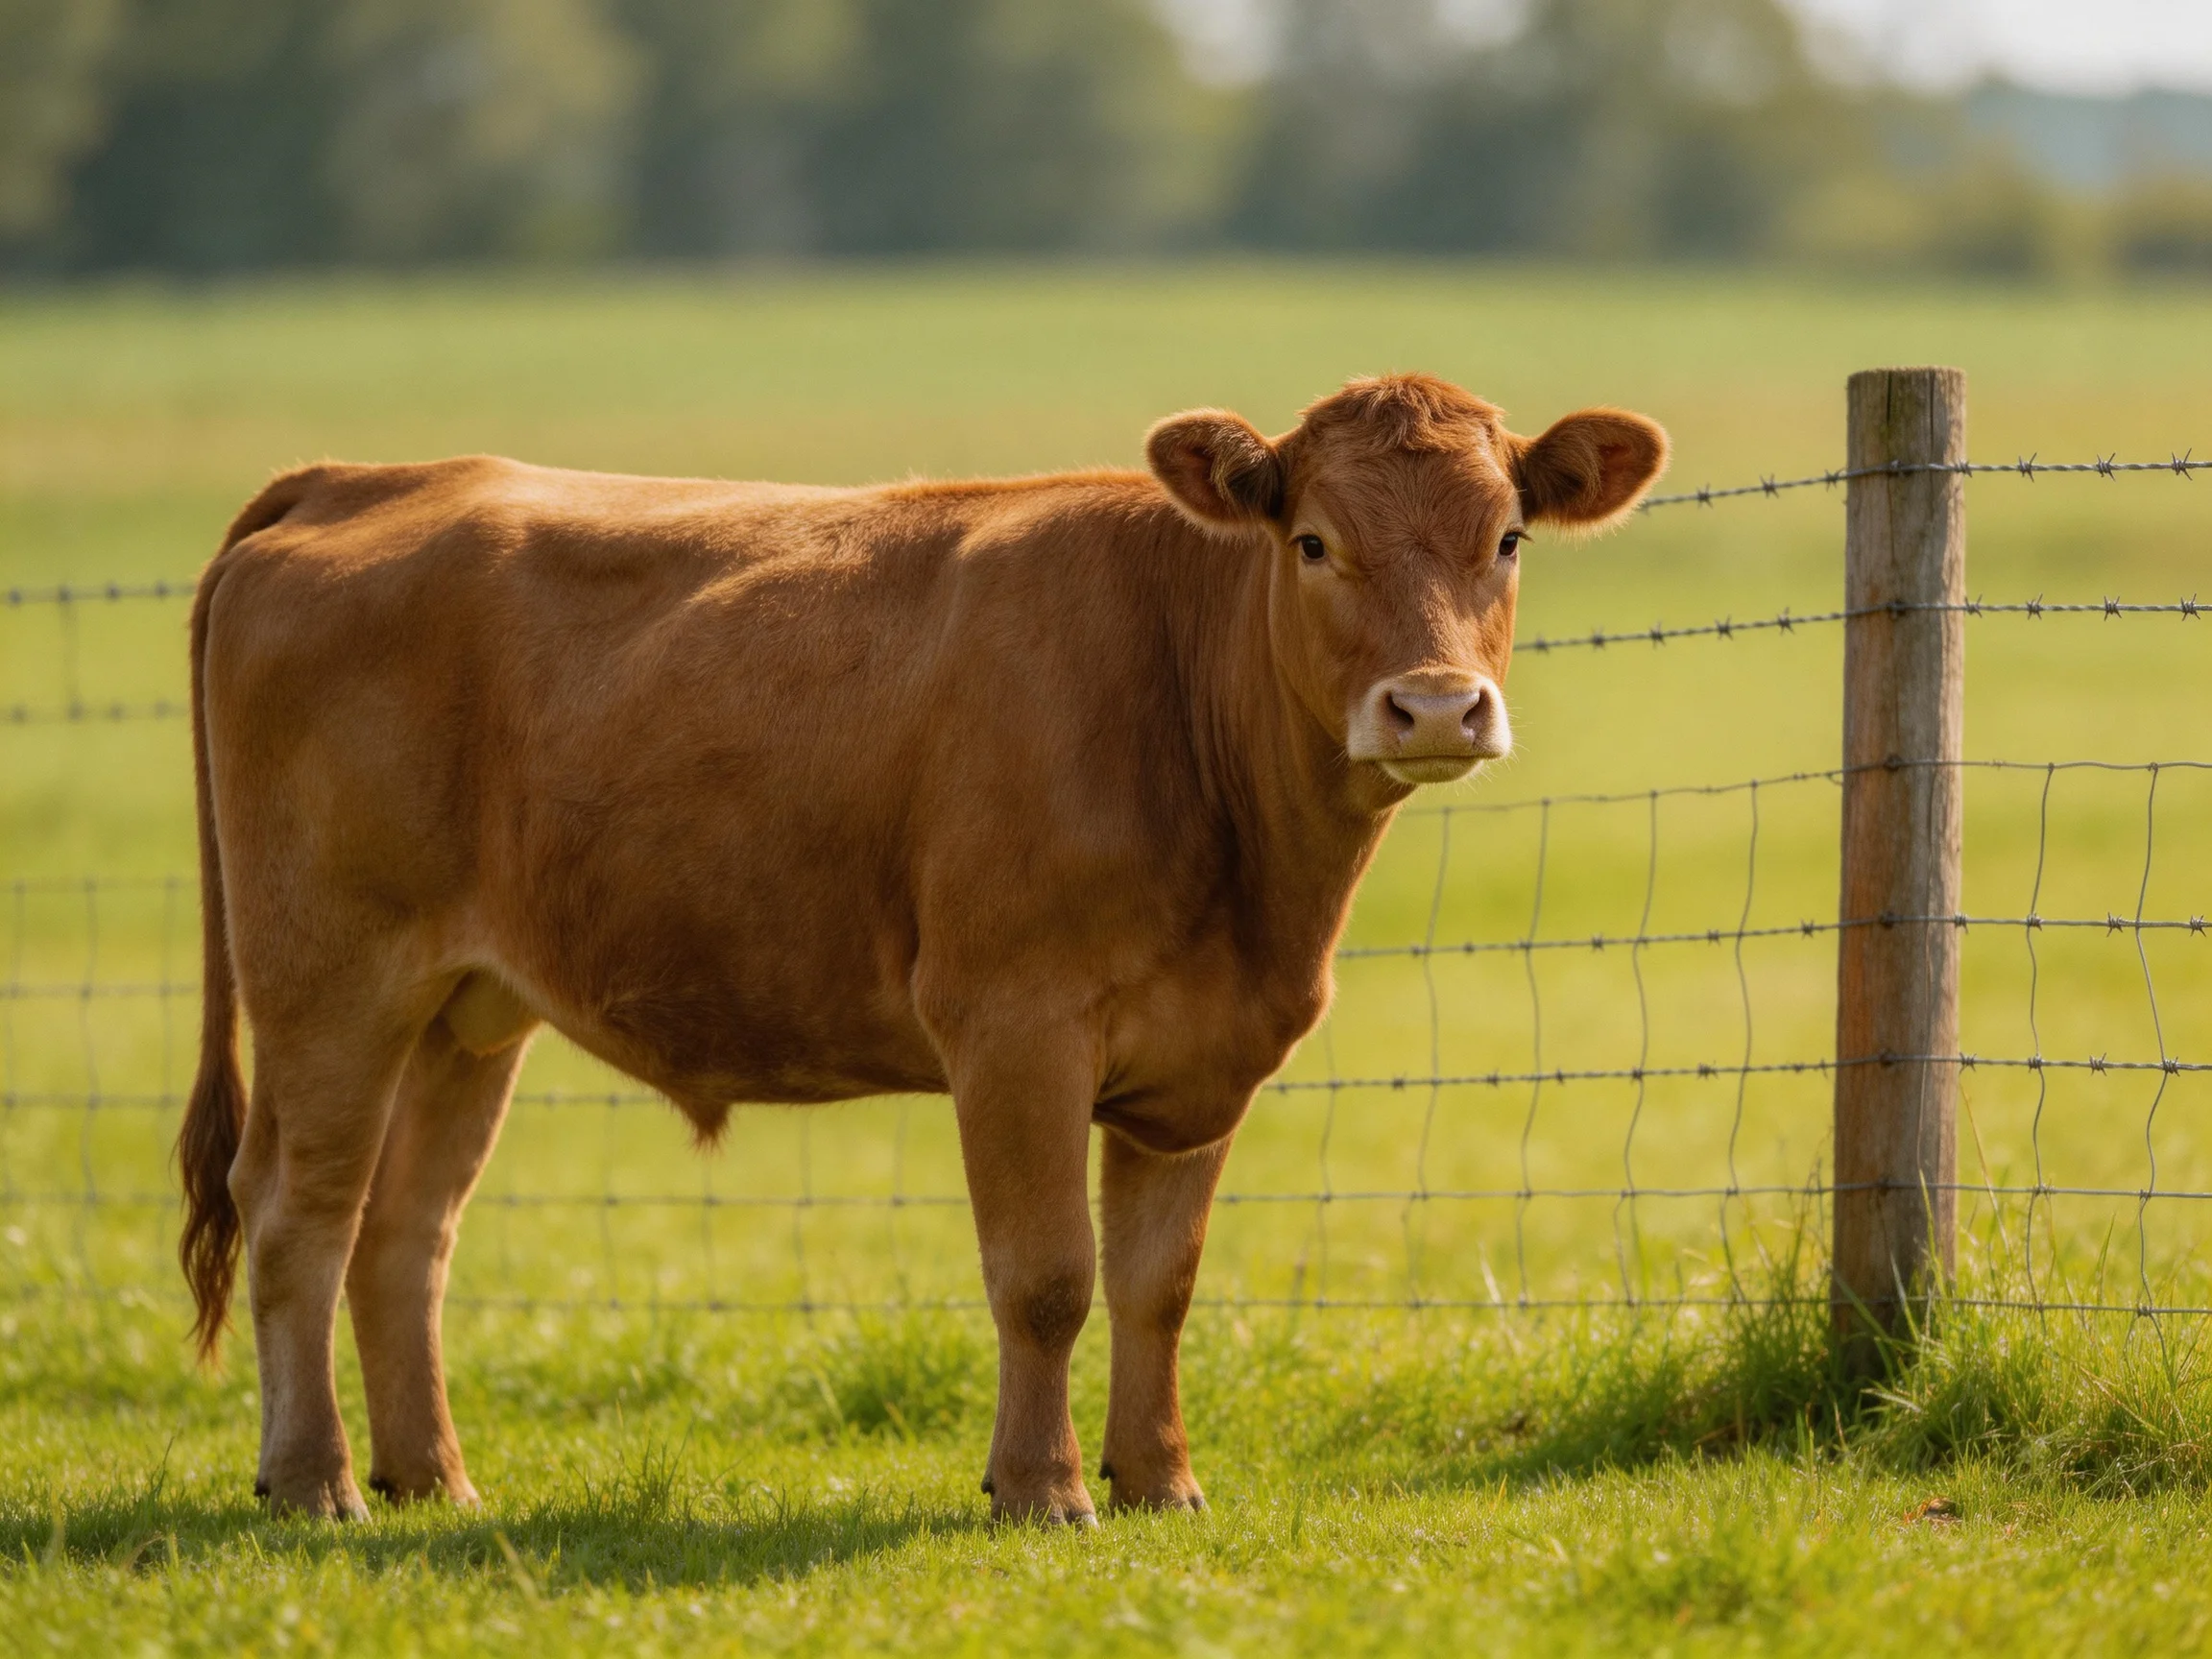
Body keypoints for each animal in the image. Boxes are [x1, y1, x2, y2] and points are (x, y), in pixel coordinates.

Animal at [176, 372, 1666, 1523]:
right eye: (1310, 540)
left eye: (1510, 537)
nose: (1436, 707)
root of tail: (368, 477)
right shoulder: (1012, 1021)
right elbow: (1048, 1276)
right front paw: (1043, 1490)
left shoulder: (1205, 1060)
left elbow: (1160, 1284)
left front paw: (1160, 1482)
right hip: (329, 977)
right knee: (298, 1210)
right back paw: (315, 1482)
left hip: (466, 1005)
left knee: (406, 1229)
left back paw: (432, 1478)